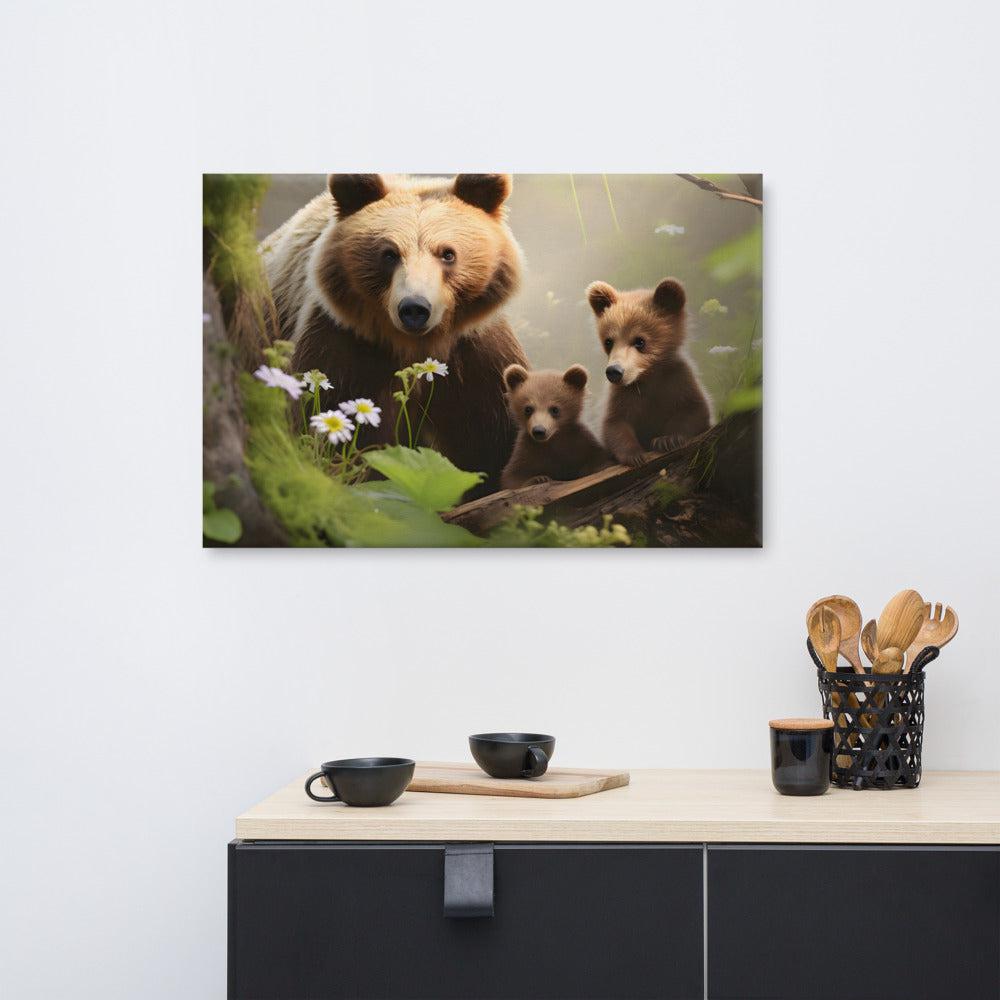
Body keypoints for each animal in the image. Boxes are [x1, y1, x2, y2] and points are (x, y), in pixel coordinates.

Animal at [261, 174, 529, 493]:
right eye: (389, 254)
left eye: (448, 253)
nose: (414, 308)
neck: (416, 347)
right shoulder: (344, 347)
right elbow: (330, 425)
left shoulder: (475, 357)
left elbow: (491, 439)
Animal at [586, 277, 712, 467]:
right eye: (609, 341)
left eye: (640, 341)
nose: (614, 371)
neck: (647, 376)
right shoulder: (623, 395)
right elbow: (614, 424)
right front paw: (635, 454)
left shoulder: (678, 380)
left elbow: (695, 410)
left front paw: (667, 439)